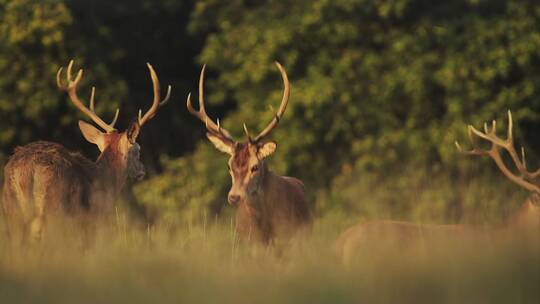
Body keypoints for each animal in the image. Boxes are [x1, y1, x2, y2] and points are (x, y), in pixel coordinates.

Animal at [1, 60, 171, 243]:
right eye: (138, 150)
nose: (142, 171)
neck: (106, 181)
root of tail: (26, 169)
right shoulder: (94, 219)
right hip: (55, 208)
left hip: (10, 210)